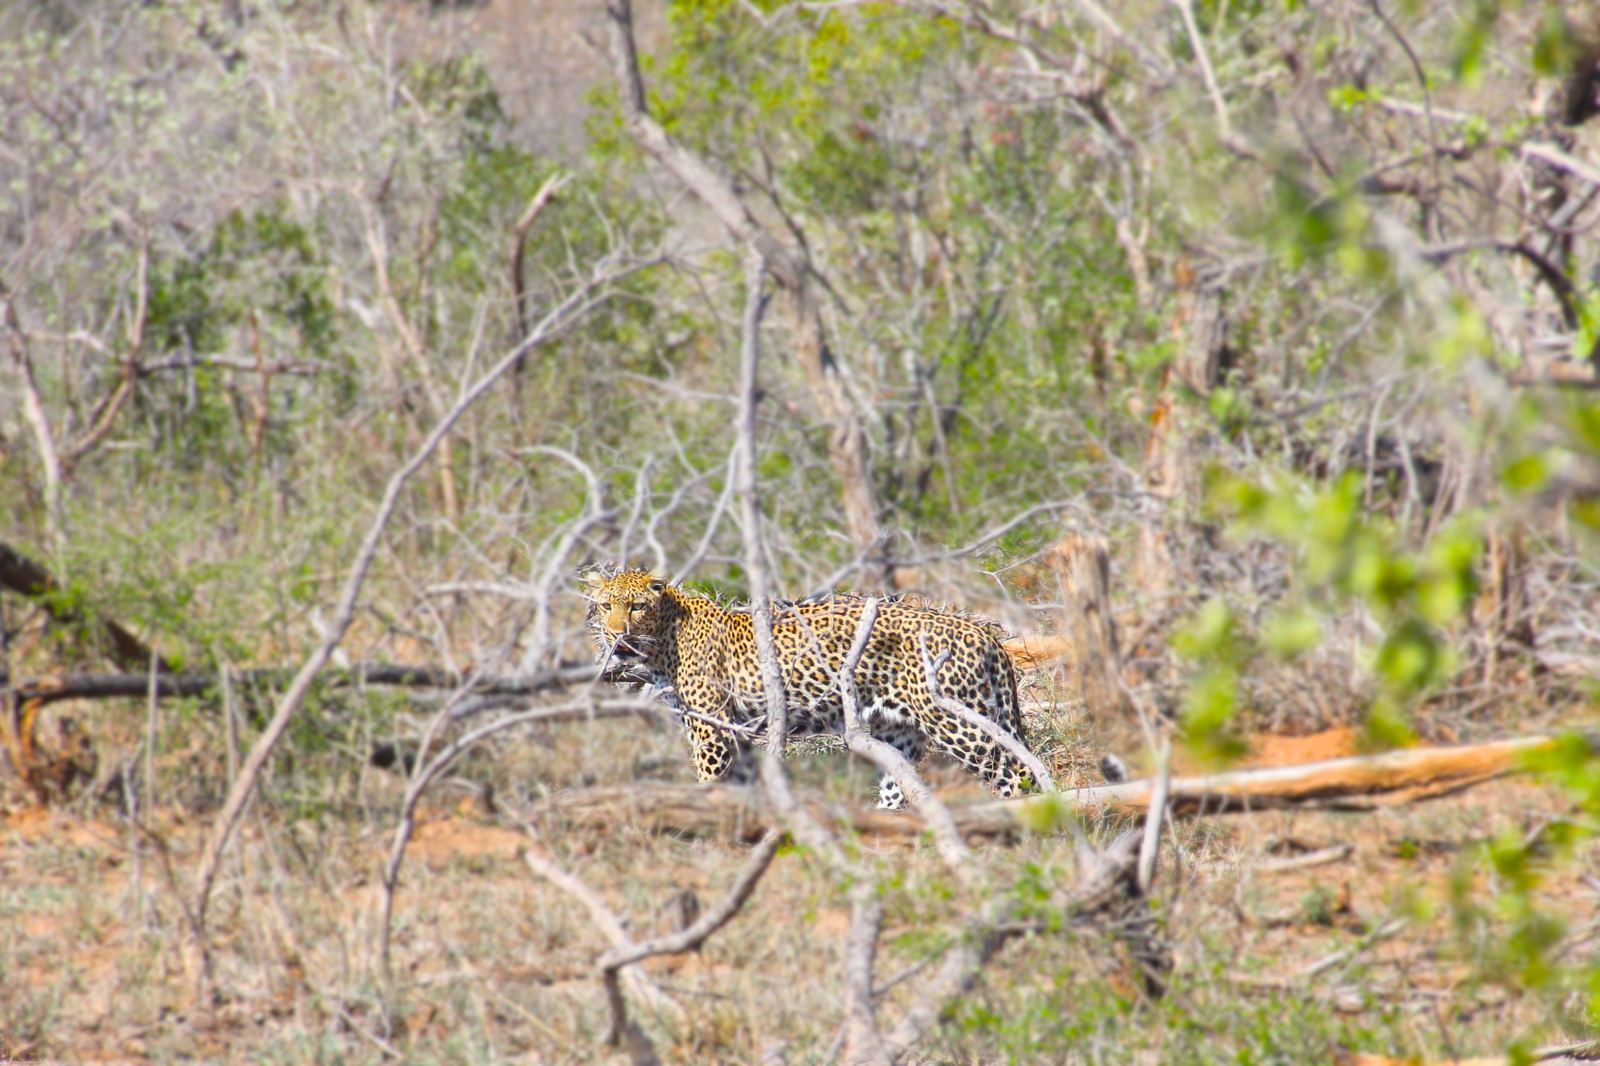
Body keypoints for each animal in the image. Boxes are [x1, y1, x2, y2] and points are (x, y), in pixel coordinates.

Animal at [583, 567, 1039, 810]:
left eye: (636, 607)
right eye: (606, 607)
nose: (617, 634)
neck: (663, 641)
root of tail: (985, 634)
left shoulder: (712, 731)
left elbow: (710, 785)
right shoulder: (735, 732)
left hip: (958, 720)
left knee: (1013, 771)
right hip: (902, 730)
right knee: (897, 787)